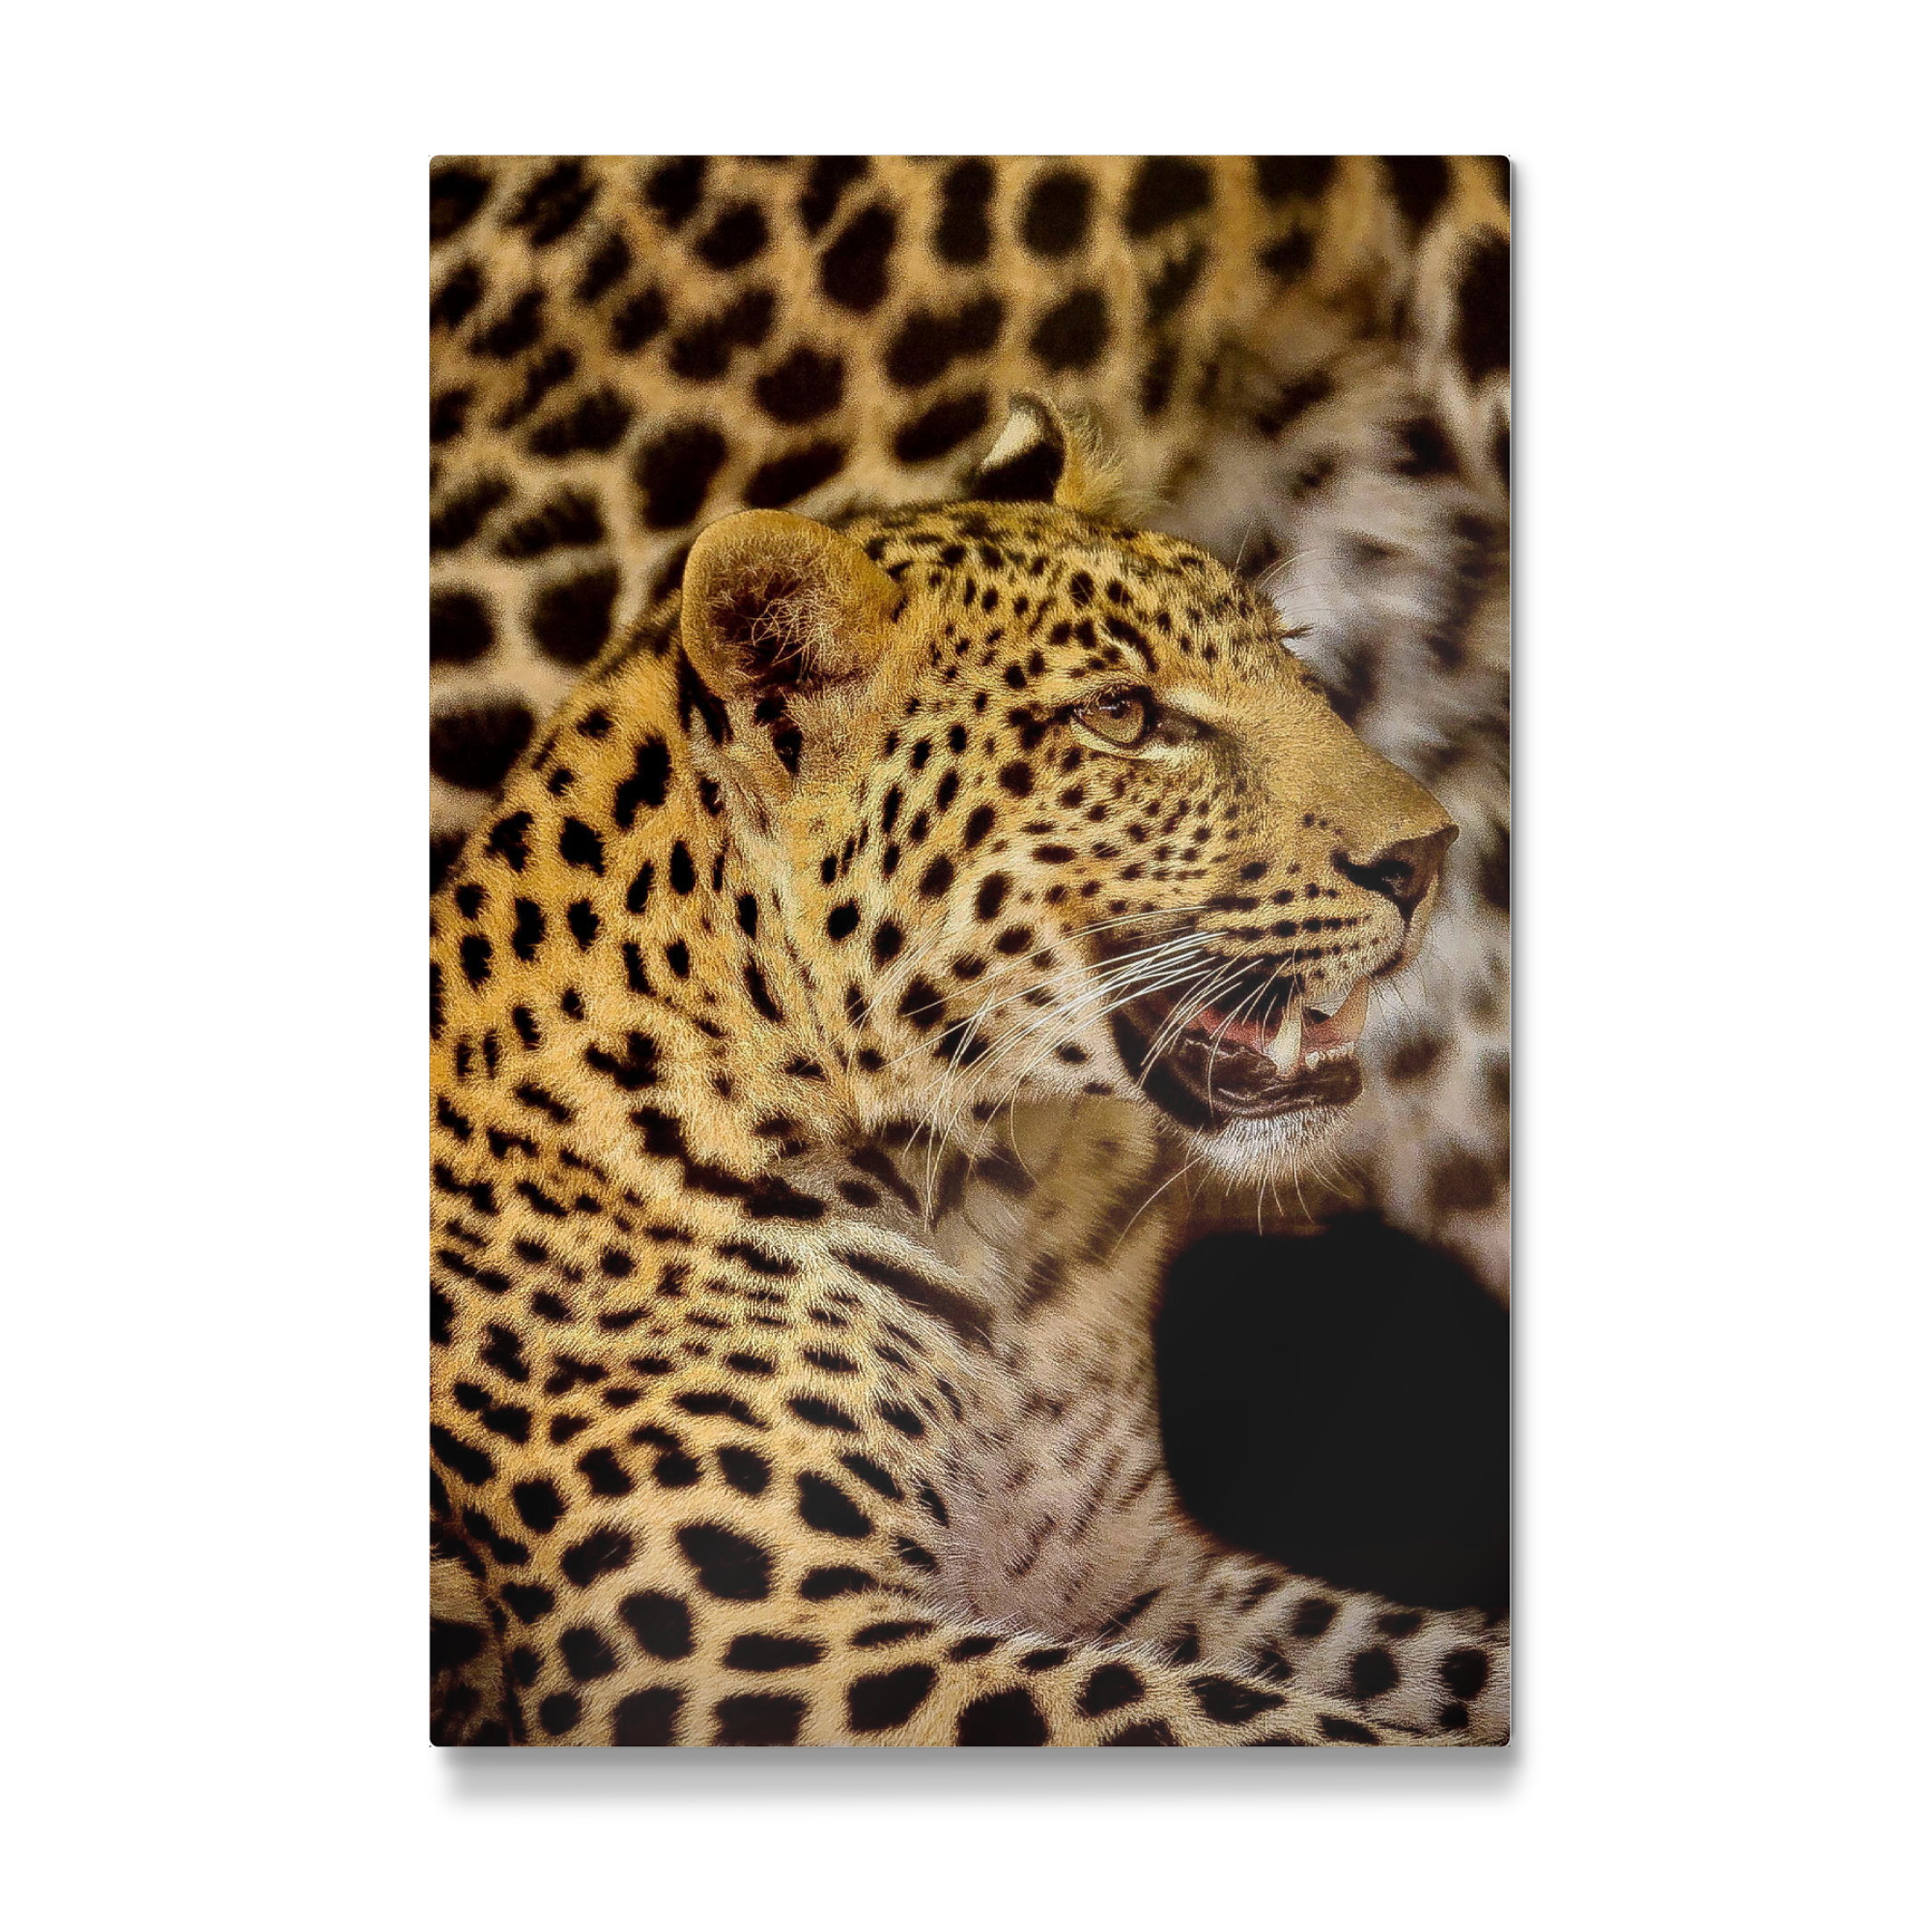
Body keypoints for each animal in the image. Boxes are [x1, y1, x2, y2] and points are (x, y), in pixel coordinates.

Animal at [430, 394, 1509, 1745]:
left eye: (1288, 660)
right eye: (1121, 716)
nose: (1428, 852)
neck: (1000, 1206)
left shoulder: (1137, 1575)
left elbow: (1416, 1661)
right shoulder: (733, 1645)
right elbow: (1242, 1718)